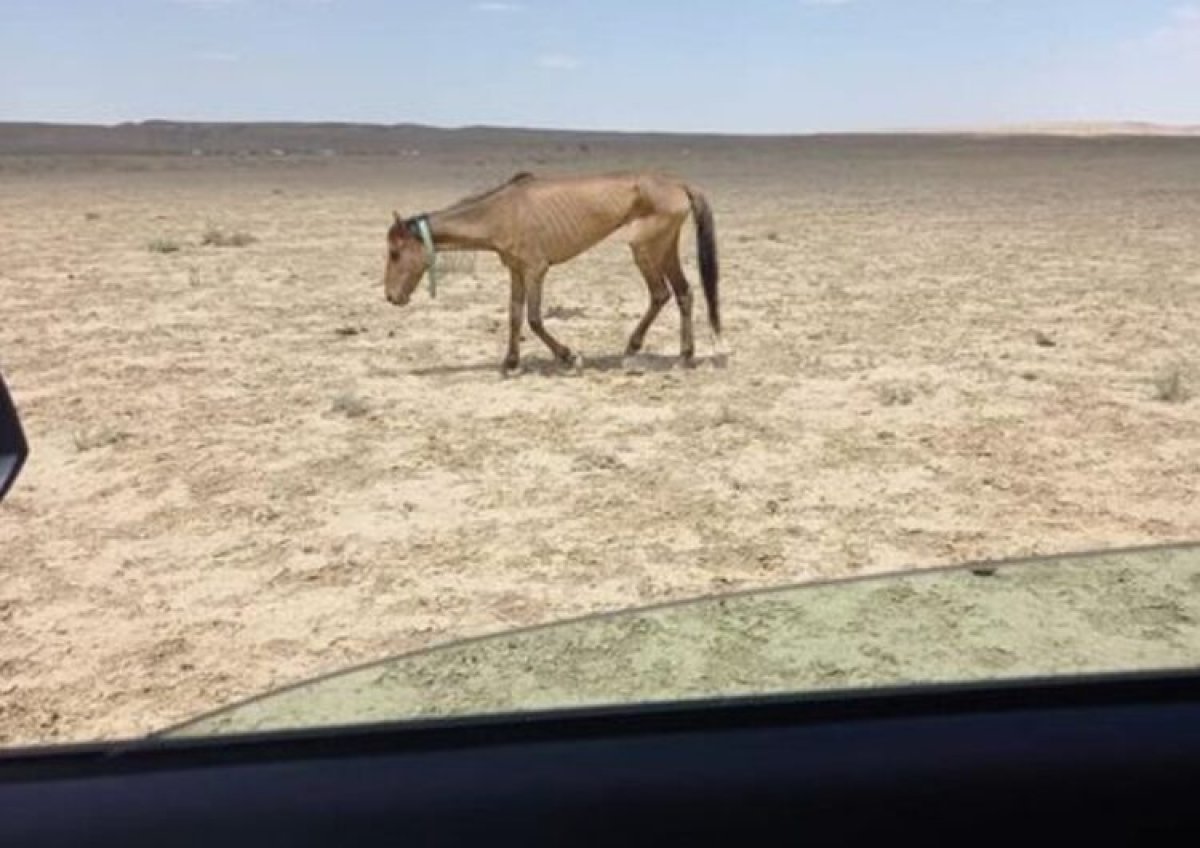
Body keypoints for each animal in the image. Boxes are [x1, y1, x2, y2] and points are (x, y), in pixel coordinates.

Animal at [386, 170, 720, 374]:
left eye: (395, 253)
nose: (391, 296)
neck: (501, 212)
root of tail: (680, 185)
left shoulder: (536, 270)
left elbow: (534, 319)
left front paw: (568, 355)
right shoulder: (516, 271)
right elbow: (514, 315)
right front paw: (510, 362)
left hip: (646, 248)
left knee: (663, 293)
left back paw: (650, 350)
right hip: (663, 247)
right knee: (681, 293)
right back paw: (682, 354)